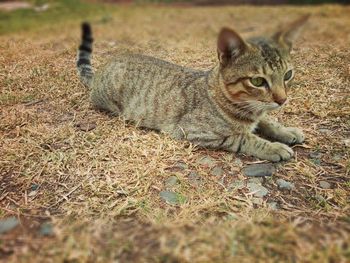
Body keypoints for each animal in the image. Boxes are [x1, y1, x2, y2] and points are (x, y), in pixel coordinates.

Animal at [77, 16, 308, 163]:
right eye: (258, 81)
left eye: (288, 75)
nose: (282, 100)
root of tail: (102, 69)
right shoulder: (194, 131)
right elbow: (243, 137)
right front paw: (274, 147)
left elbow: (268, 121)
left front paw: (285, 131)